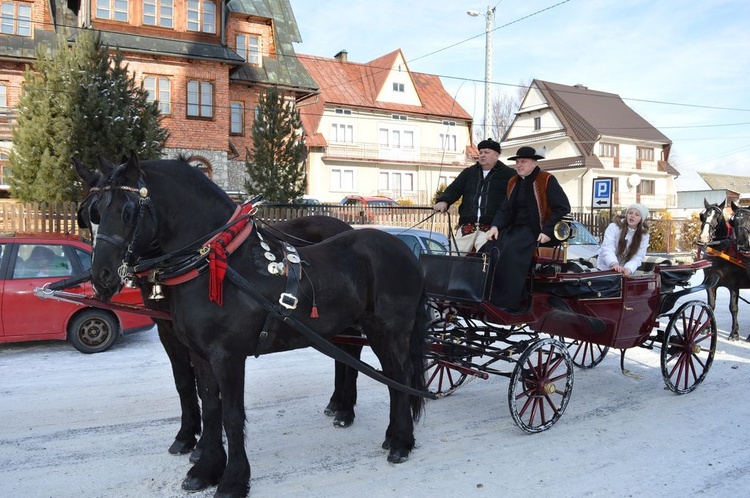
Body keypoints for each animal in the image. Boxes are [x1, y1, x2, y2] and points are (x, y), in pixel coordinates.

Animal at [82, 154, 428, 496]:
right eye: (92, 212)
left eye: (127, 211)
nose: (101, 275)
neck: (218, 265)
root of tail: (405, 250)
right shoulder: (200, 354)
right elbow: (210, 405)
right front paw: (205, 468)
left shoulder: (228, 356)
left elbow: (232, 416)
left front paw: (233, 480)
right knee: (383, 375)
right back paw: (379, 429)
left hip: (389, 332)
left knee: (399, 377)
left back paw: (400, 441)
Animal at [700, 200, 750, 340]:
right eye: (703, 216)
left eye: (718, 217)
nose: (704, 237)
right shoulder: (710, 283)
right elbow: (710, 305)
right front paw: (706, 327)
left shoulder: (734, 285)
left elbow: (733, 307)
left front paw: (734, 333)